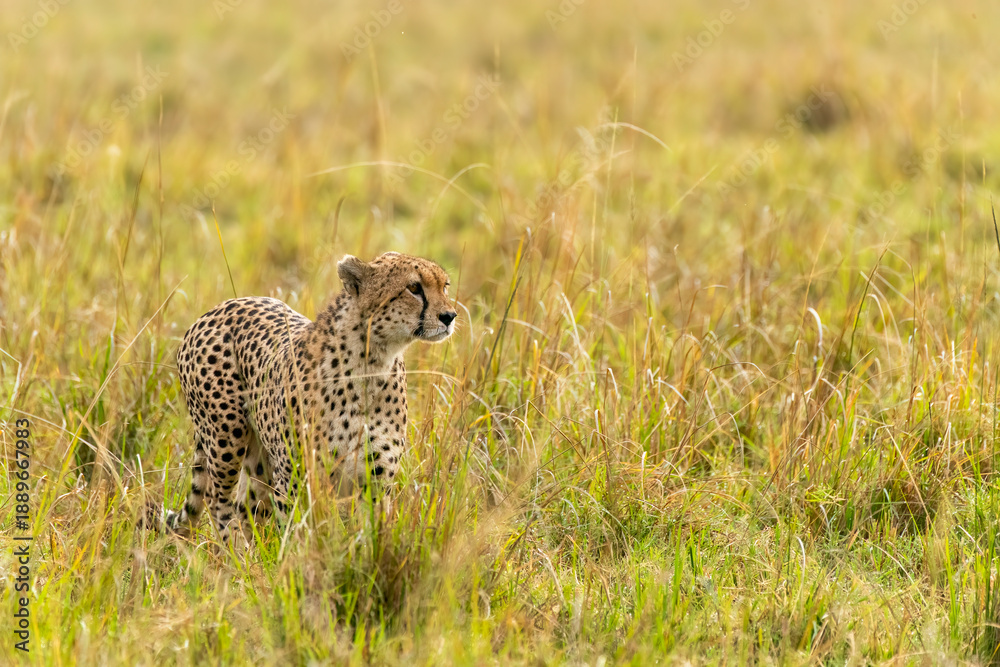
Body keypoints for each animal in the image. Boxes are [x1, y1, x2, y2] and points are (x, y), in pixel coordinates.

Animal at [161, 251, 456, 545]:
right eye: (414, 287)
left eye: (445, 286)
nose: (449, 316)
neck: (371, 363)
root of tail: (217, 309)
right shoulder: (294, 478)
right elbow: (298, 535)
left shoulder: (375, 482)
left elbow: (371, 537)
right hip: (226, 436)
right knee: (217, 499)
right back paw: (237, 552)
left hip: (259, 460)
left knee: (247, 506)